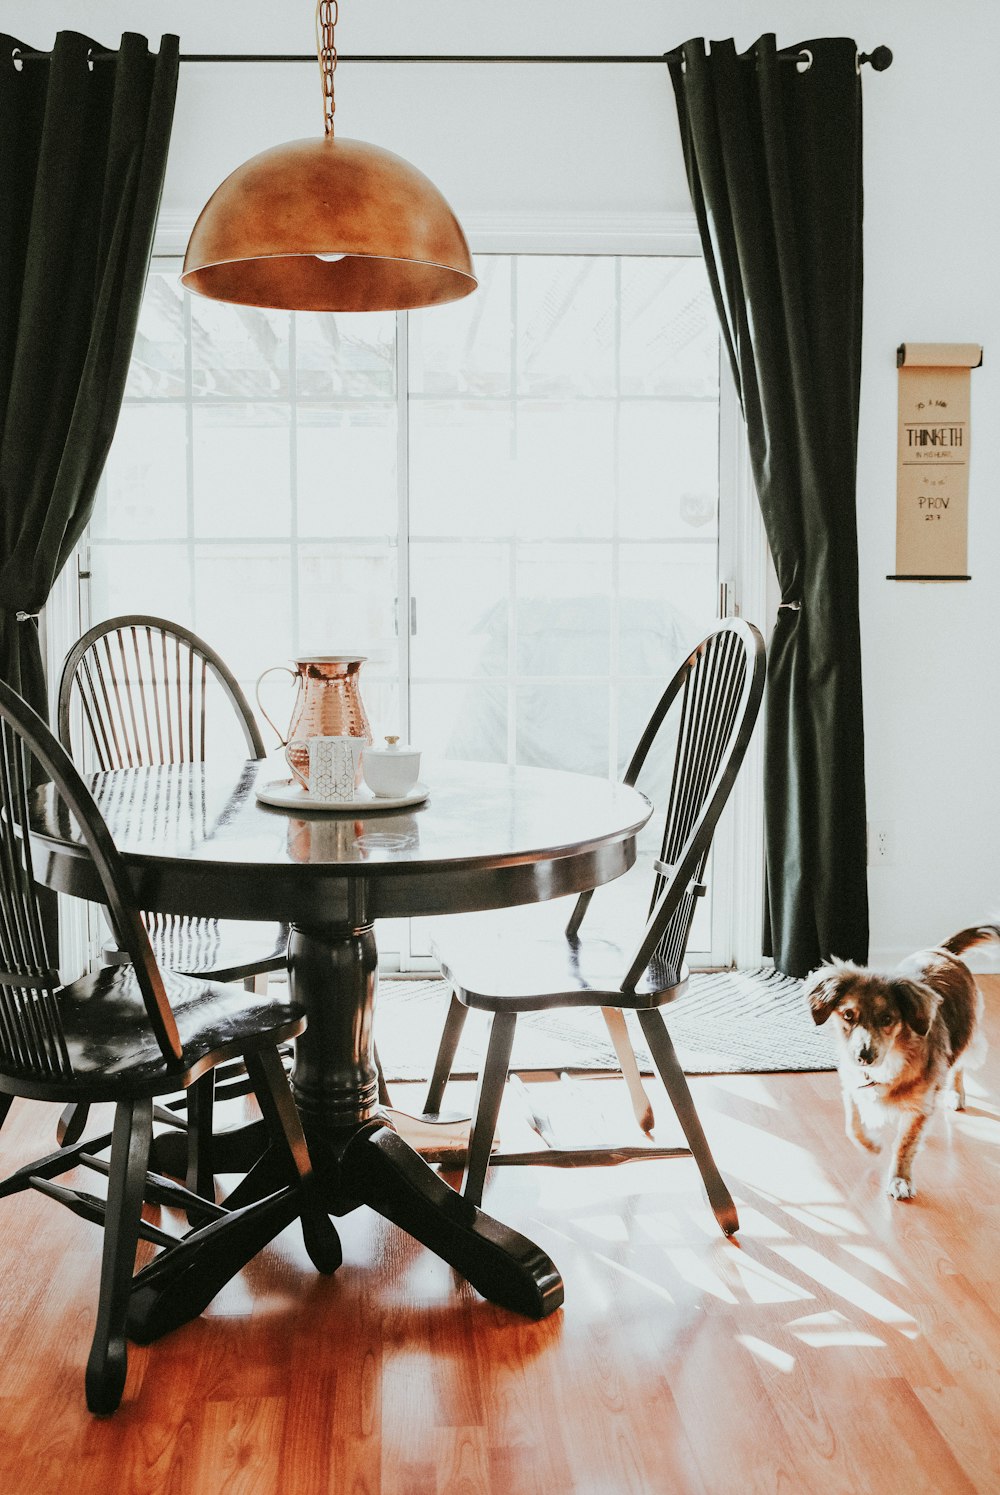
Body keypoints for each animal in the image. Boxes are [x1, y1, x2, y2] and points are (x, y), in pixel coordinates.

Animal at [801, 920, 992, 1201]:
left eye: (887, 1019)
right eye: (848, 1015)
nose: (863, 1056)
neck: (892, 1058)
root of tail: (943, 951)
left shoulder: (919, 1105)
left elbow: (905, 1144)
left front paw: (900, 1179)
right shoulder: (852, 1084)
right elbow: (852, 1125)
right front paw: (871, 1145)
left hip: (968, 1038)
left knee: (959, 1065)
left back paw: (956, 1093)